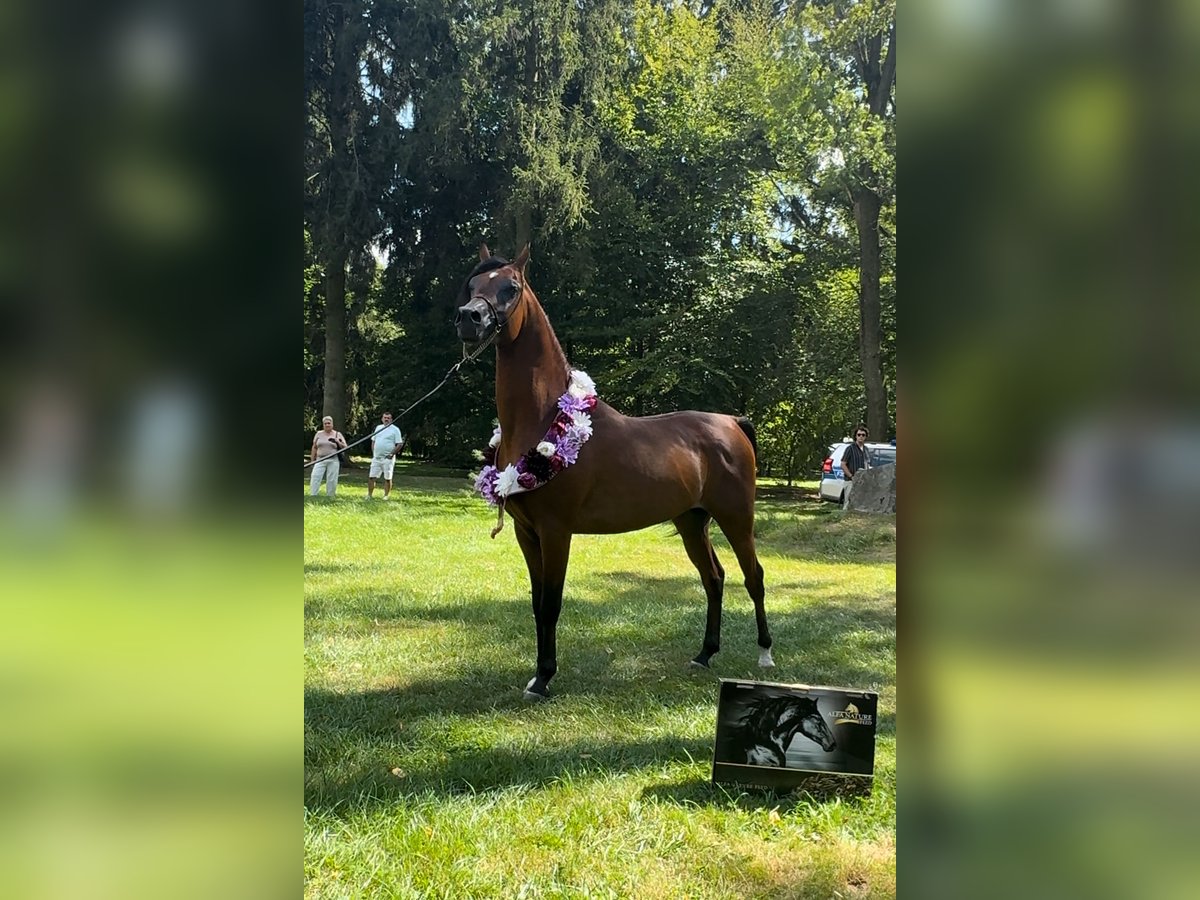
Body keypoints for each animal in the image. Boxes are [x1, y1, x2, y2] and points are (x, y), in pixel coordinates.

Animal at [453, 247, 772, 705]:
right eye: (473, 286)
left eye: (510, 288)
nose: (469, 318)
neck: (544, 417)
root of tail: (732, 422)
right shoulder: (526, 533)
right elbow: (536, 603)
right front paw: (536, 676)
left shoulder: (556, 531)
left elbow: (551, 604)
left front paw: (544, 678)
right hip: (691, 521)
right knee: (714, 578)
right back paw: (704, 655)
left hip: (736, 518)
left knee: (754, 577)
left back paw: (765, 655)